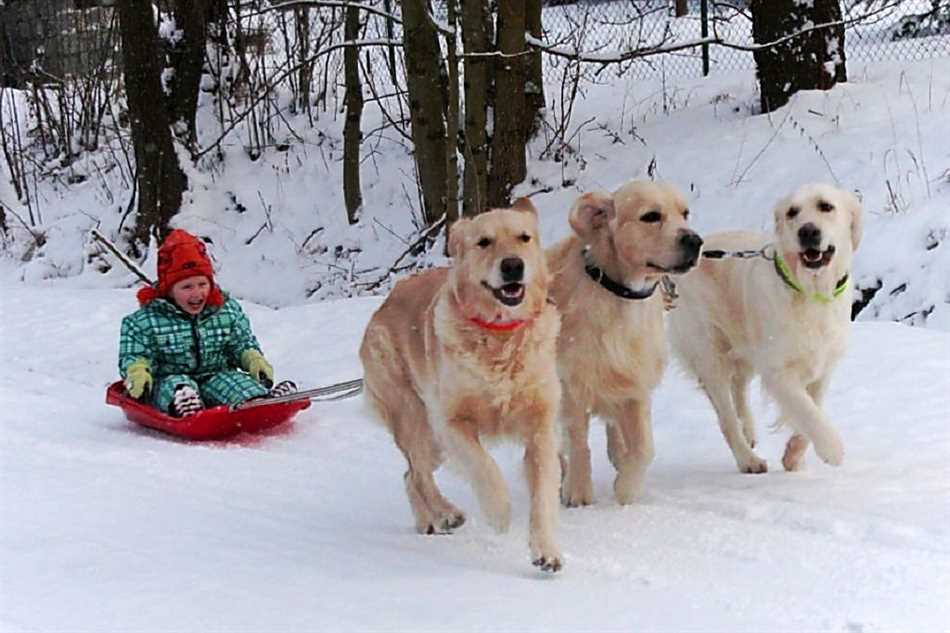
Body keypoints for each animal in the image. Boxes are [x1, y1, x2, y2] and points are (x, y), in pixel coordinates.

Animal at [358, 199, 564, 572]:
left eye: (524, 237)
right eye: (484, 242)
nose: (513, 265)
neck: (500, 335)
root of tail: (384, 304)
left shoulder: (540, 425)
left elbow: (543, 491)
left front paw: (547, 551)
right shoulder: (450, 422)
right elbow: (484, 467)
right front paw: (499, 511)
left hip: (431, 441)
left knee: (409, 475)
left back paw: (429, 520)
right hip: (417, 420)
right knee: (417, 474)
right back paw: (445, 513)